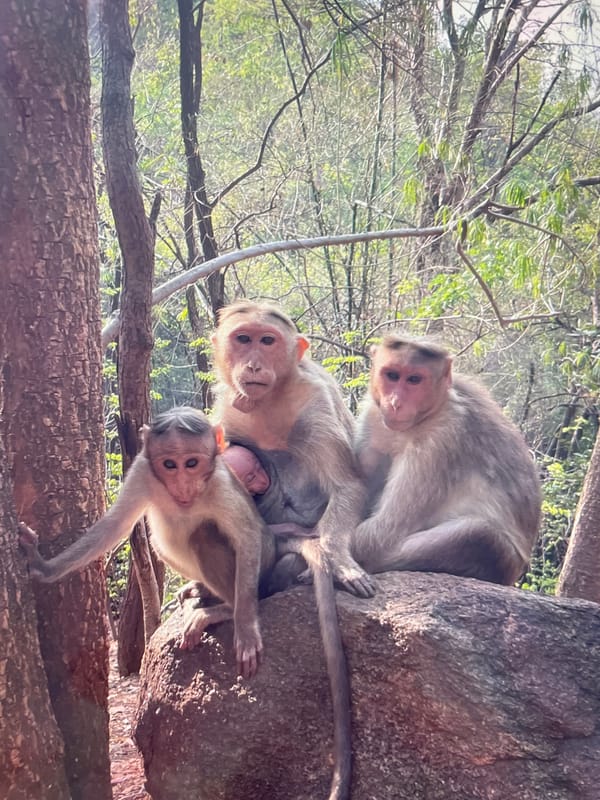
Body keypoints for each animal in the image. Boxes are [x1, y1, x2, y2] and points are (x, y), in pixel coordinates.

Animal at [19, 406, 277, 679]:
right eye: (169, 465)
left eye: (192, 463)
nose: (182, 485)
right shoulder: (141, 471)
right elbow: (115, 525)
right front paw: (43, 567)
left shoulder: (220, 483)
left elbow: (248, 536)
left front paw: (246, 627)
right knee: (162, 541)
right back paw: (202, 588)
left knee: (204, 535)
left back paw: (226, 608)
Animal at [211, 299, 366, 800]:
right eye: (243, 339)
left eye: (267, 340)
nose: (254, 364)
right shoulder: (226, 407)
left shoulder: (314, 400)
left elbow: (347, 485)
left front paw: (339, 560)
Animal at [352, 335, 541, 585]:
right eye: (392, 375)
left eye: (414, 380)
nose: (394, 403)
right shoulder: (373, 416)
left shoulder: (441, 441)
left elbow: (384, 530)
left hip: (504, 564)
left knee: (479, 535)